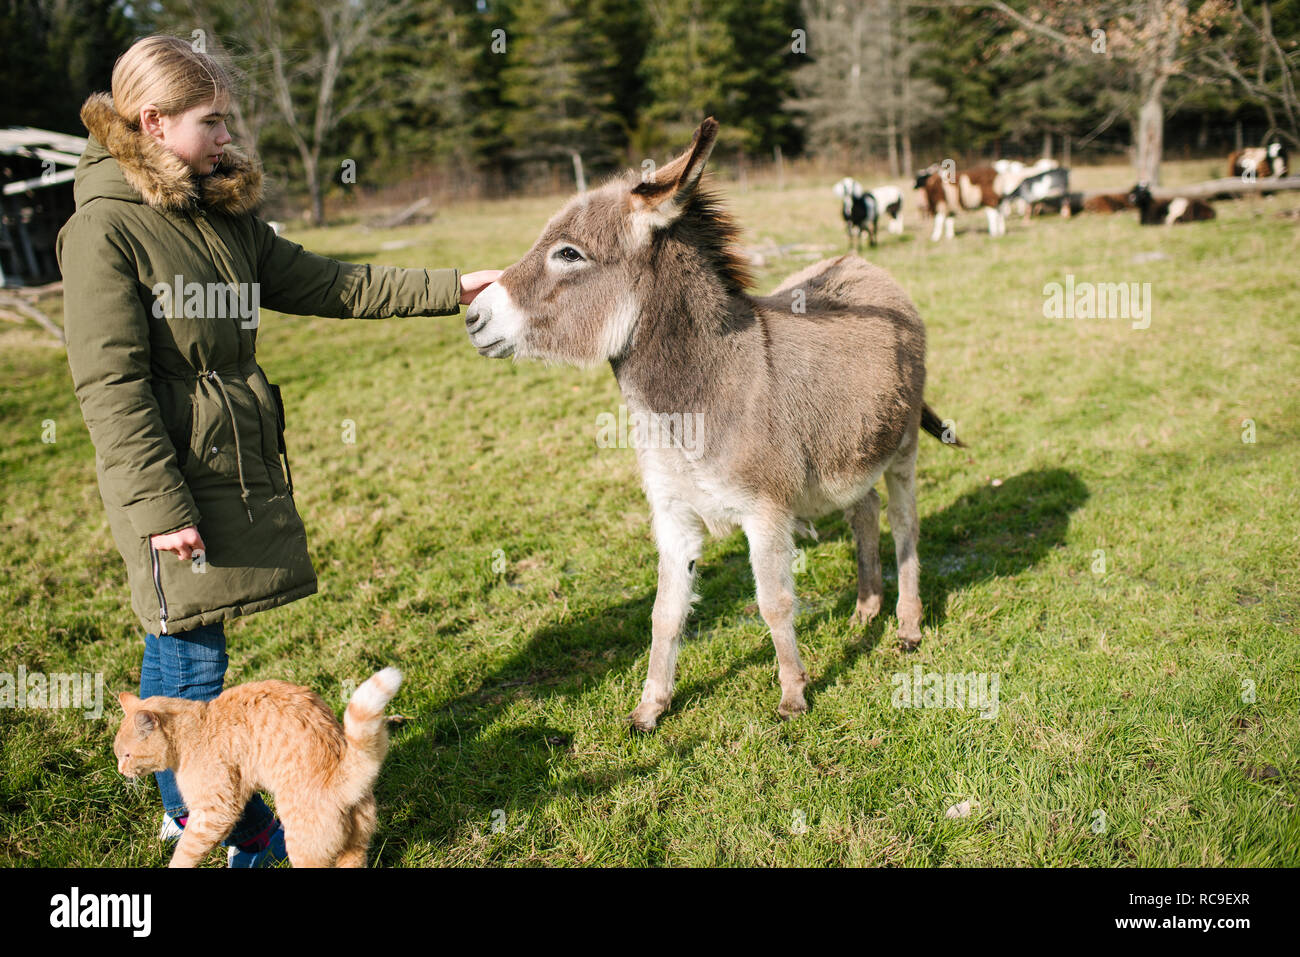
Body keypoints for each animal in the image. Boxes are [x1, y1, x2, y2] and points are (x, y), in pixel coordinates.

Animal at [116, 665, 400, 868]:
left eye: (127, 755)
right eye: (118, 755)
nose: (120, 771)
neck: (198, 726)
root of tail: (339, 777)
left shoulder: (215, 811)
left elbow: (185, 852)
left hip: (303, 846)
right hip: (355, 846)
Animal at [462, 121, 961, 733]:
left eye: (569, 253)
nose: (472, 316)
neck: (699, 395)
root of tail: (866, 266)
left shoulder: (765, 512)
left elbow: (774, 603)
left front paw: (793, 694)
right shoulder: (673, 516)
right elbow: (664, 613)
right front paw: (650, 707)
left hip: (903, 450)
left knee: (904, 527)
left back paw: (908, 626)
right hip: (848, 452)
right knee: (863, 511)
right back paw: (866, 611)